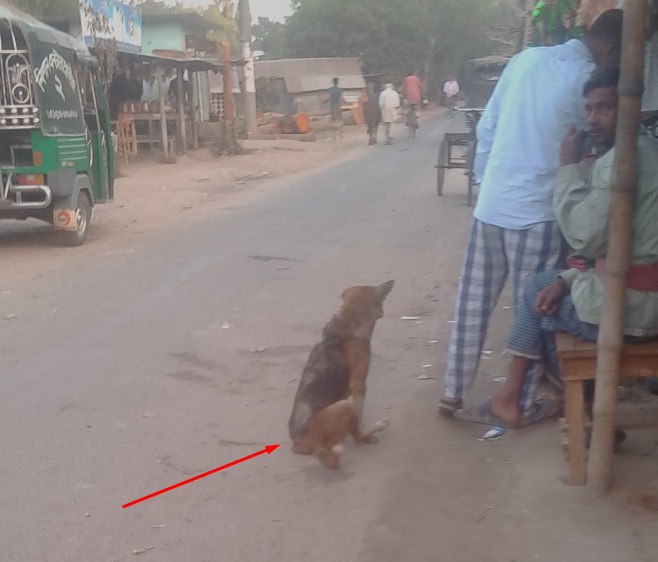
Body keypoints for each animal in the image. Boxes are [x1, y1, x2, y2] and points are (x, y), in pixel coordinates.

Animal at [286, 280, 390, 468]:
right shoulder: (358, 384)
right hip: (344, 405)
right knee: (357, 439)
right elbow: (359, 414)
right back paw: (376, 428)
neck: (348, 324)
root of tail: (299, 444)